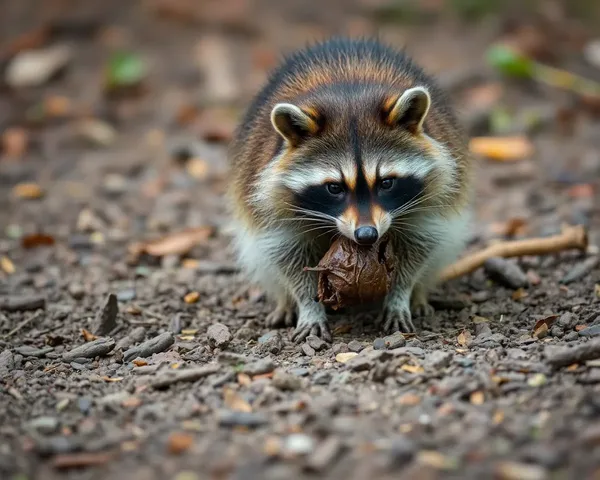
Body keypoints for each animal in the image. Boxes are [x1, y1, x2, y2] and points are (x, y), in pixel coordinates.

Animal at [227, 38, 472, 342]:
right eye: (334, 188)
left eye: (386, 183)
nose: (366, 235)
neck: (348, 95)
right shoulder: (273, 202)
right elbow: (287, 253)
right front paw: (307, 305)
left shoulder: (432, 195)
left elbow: (420, 243)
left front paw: (400, 295)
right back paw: (285, 302)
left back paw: (419, 295)